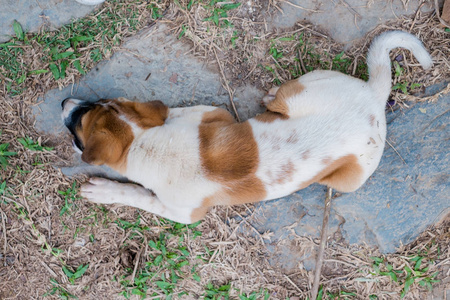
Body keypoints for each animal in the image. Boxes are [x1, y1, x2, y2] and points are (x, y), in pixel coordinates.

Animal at [60, 31, 432, 223]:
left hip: (348, 179)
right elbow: (173, 112)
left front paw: (104, 191)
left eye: (78, 125)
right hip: (306, 87)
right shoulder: (211, 113)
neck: (143, 143)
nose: (63, 101)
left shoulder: (182, 212)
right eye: (92, 105)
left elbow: (136, 195)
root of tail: (374, 96)